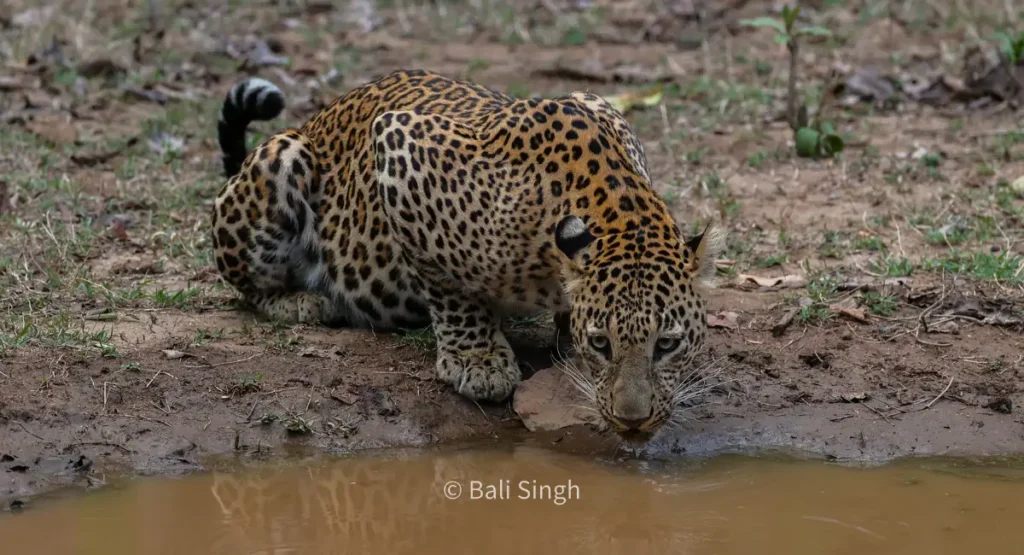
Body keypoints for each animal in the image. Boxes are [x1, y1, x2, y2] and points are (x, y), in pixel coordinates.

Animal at [211, 69, 725, 444]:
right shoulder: (399, 146)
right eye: (602, 344)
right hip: (281, 158)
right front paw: (479, 360)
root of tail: (316, 119)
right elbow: (450, 286)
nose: (632, 420)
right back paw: (302, 301)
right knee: (248, 287)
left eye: (667, 344)